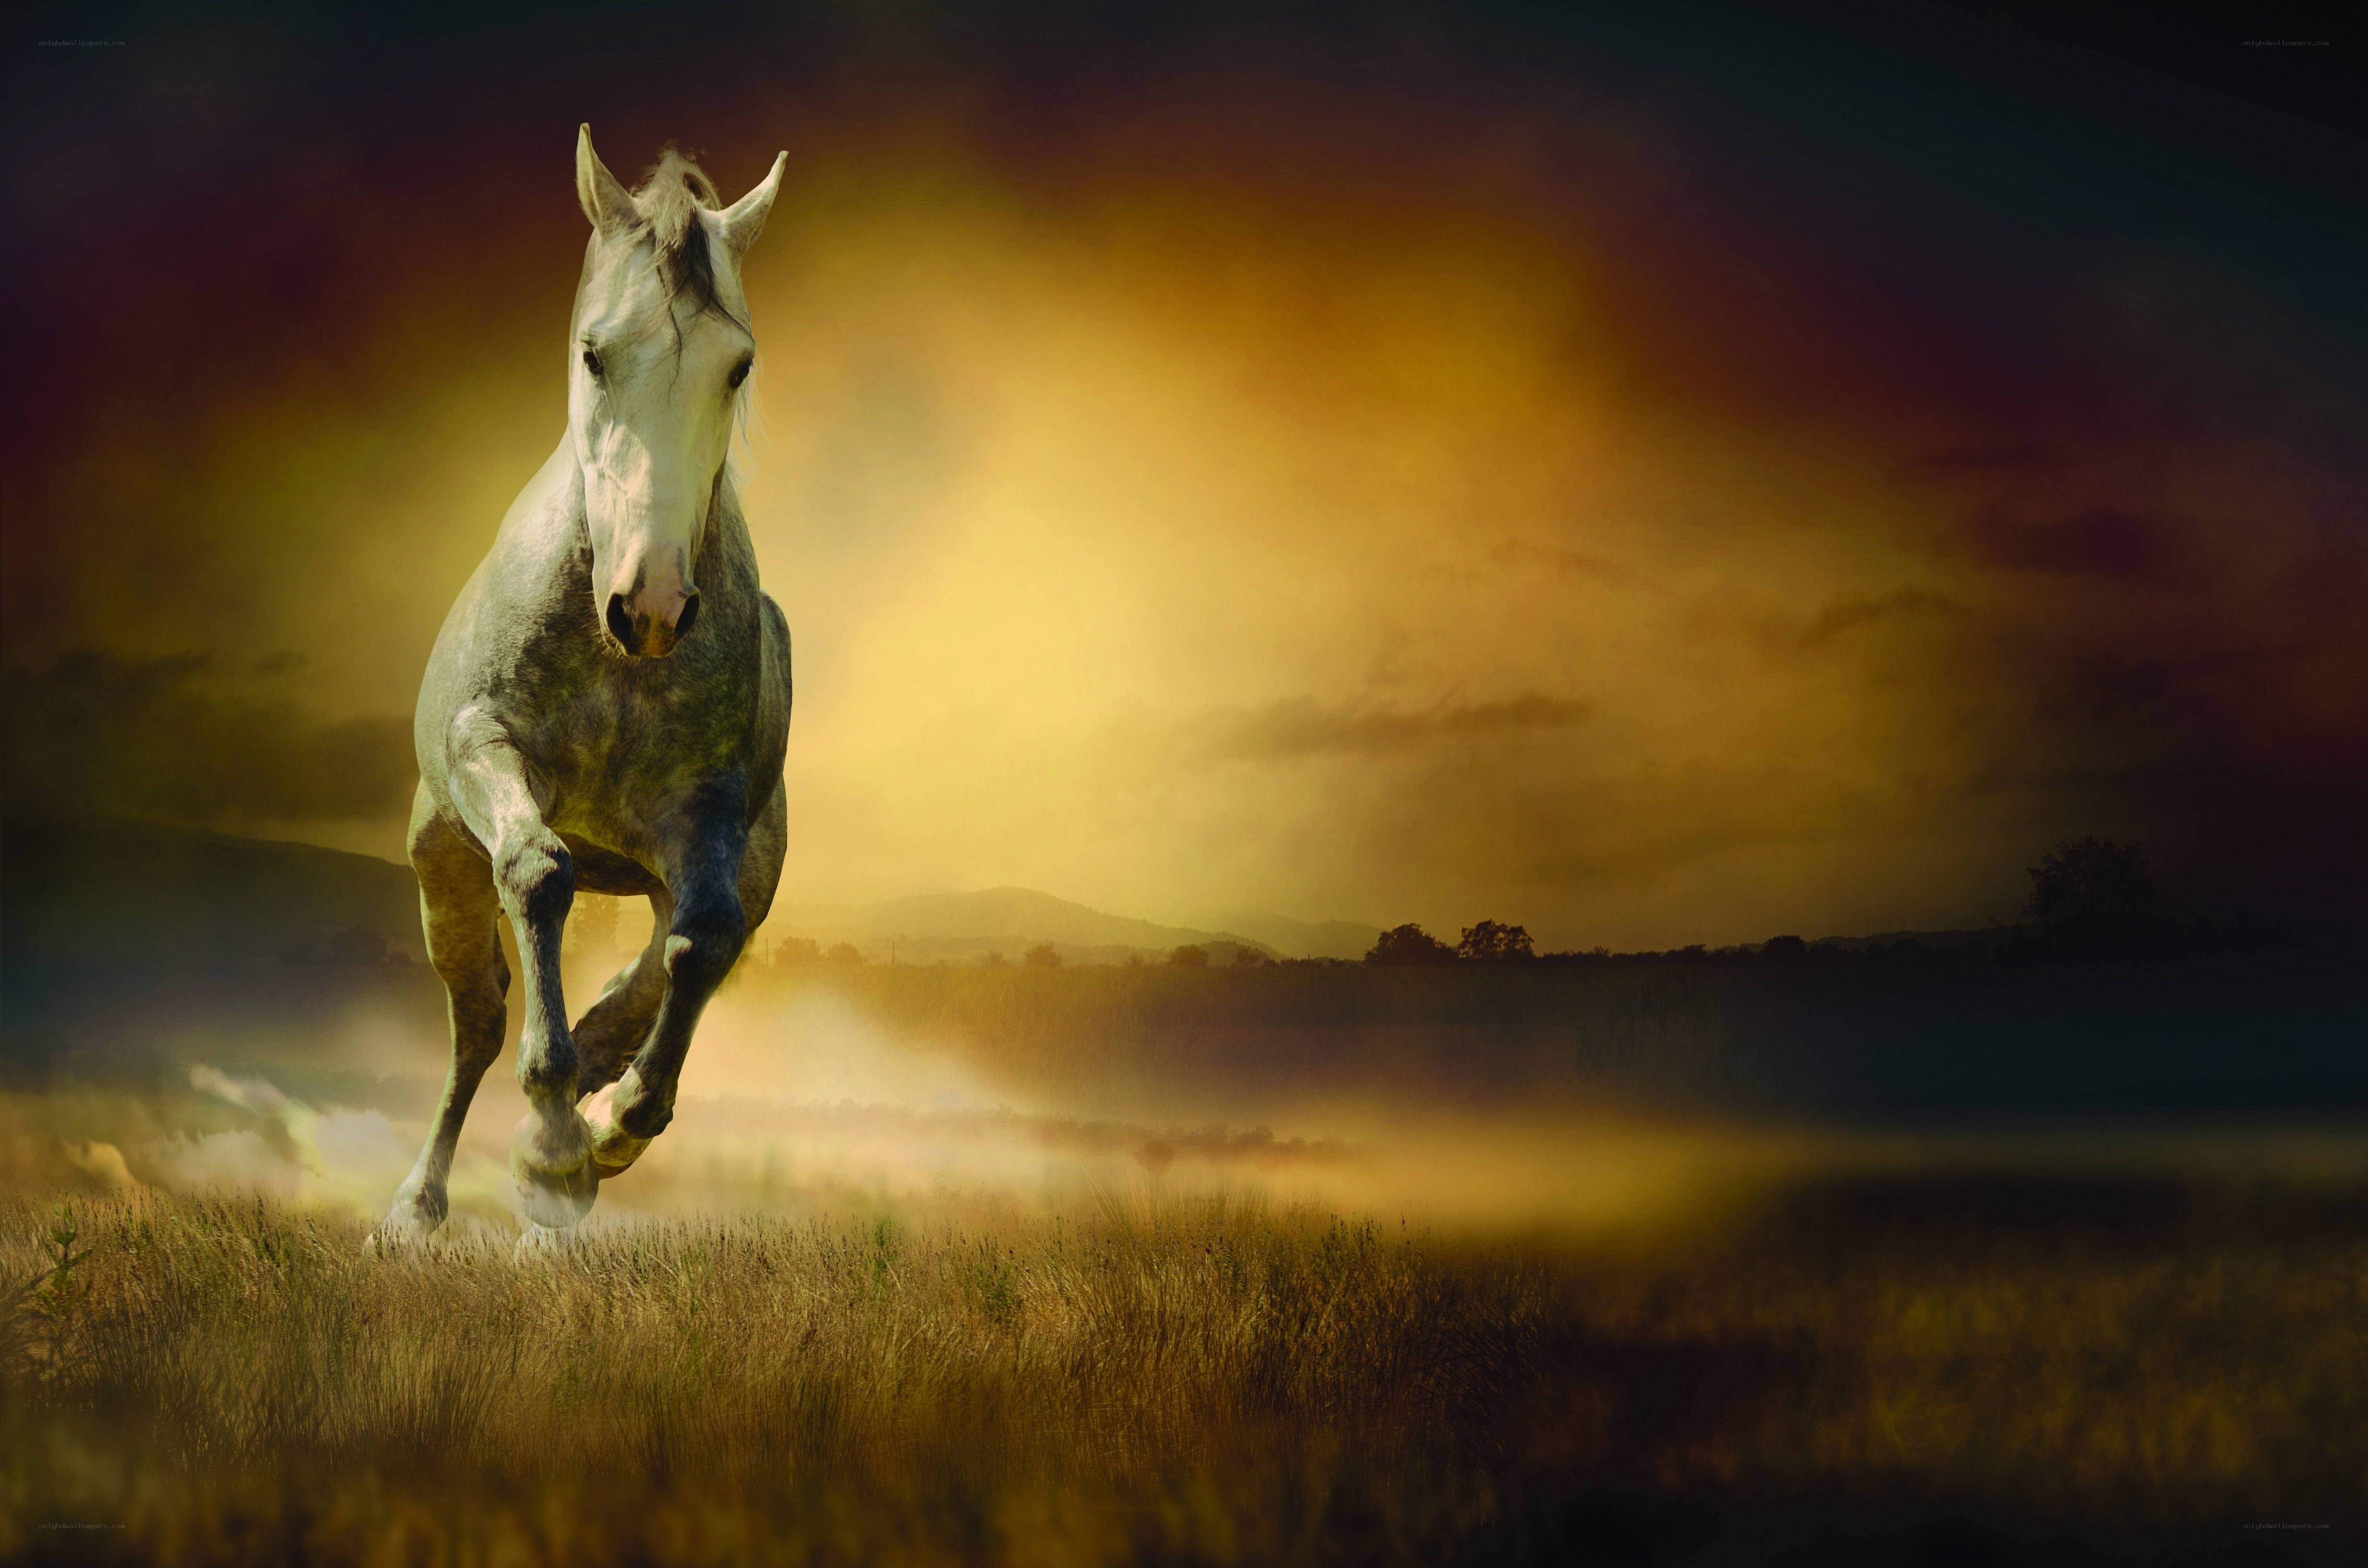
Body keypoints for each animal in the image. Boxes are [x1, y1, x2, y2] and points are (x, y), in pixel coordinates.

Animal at [380, 127, 793, 1241]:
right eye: (595, 354)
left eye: (739, 365)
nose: (646, 605)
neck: (618, 668)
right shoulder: (489, 753)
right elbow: (539, 872)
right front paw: (554, 1143)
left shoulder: (710, 814)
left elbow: (704, 937)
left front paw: (611, 1122)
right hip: (442, 867)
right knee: (477, 1025)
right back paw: (419, 1206)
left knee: (673, 959)